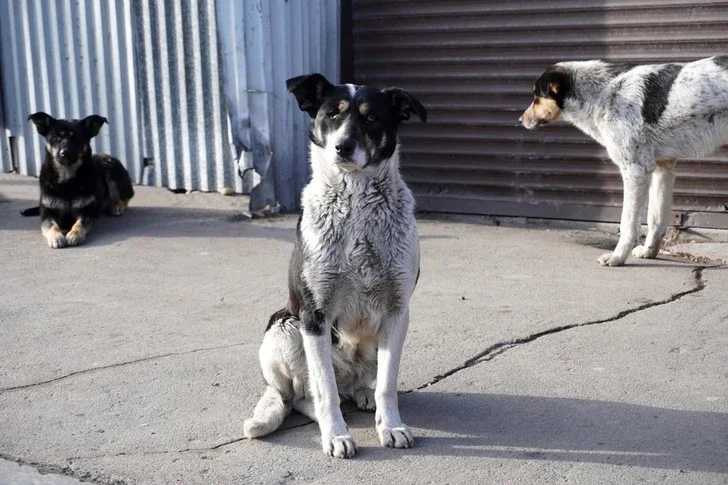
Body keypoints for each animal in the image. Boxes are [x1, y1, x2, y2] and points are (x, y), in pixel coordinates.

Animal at [23, 112, 135, 248]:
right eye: (56, 137)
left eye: (76, 138)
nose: (64, 153)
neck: (67, 179)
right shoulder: (47, 214)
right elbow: (51, 225)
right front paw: (56, 236)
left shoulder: (85, 212)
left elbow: (79, 224)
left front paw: (74, 234)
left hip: (109, 164)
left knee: (126, 197)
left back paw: (117, 206)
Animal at [245, 73, 426, 458]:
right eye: (332, 114)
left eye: (371, 117)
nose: (344, 146)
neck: (355, 198)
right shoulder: (314, 315)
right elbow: (324, 390)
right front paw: (336, 436)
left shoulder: (397, 312)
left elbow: (388, 385)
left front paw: (391, 426)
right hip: (284, 328)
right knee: (302, 396)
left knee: (361, 384)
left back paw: (363, 395)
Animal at [520, 57, 728, 268]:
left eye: (536, 96)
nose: (520, 120)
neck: (602, 93)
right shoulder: (663, 168)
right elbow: (656, 220)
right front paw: (649, 251)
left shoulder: (635, 171)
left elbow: (628, 224)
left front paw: (617, 257)